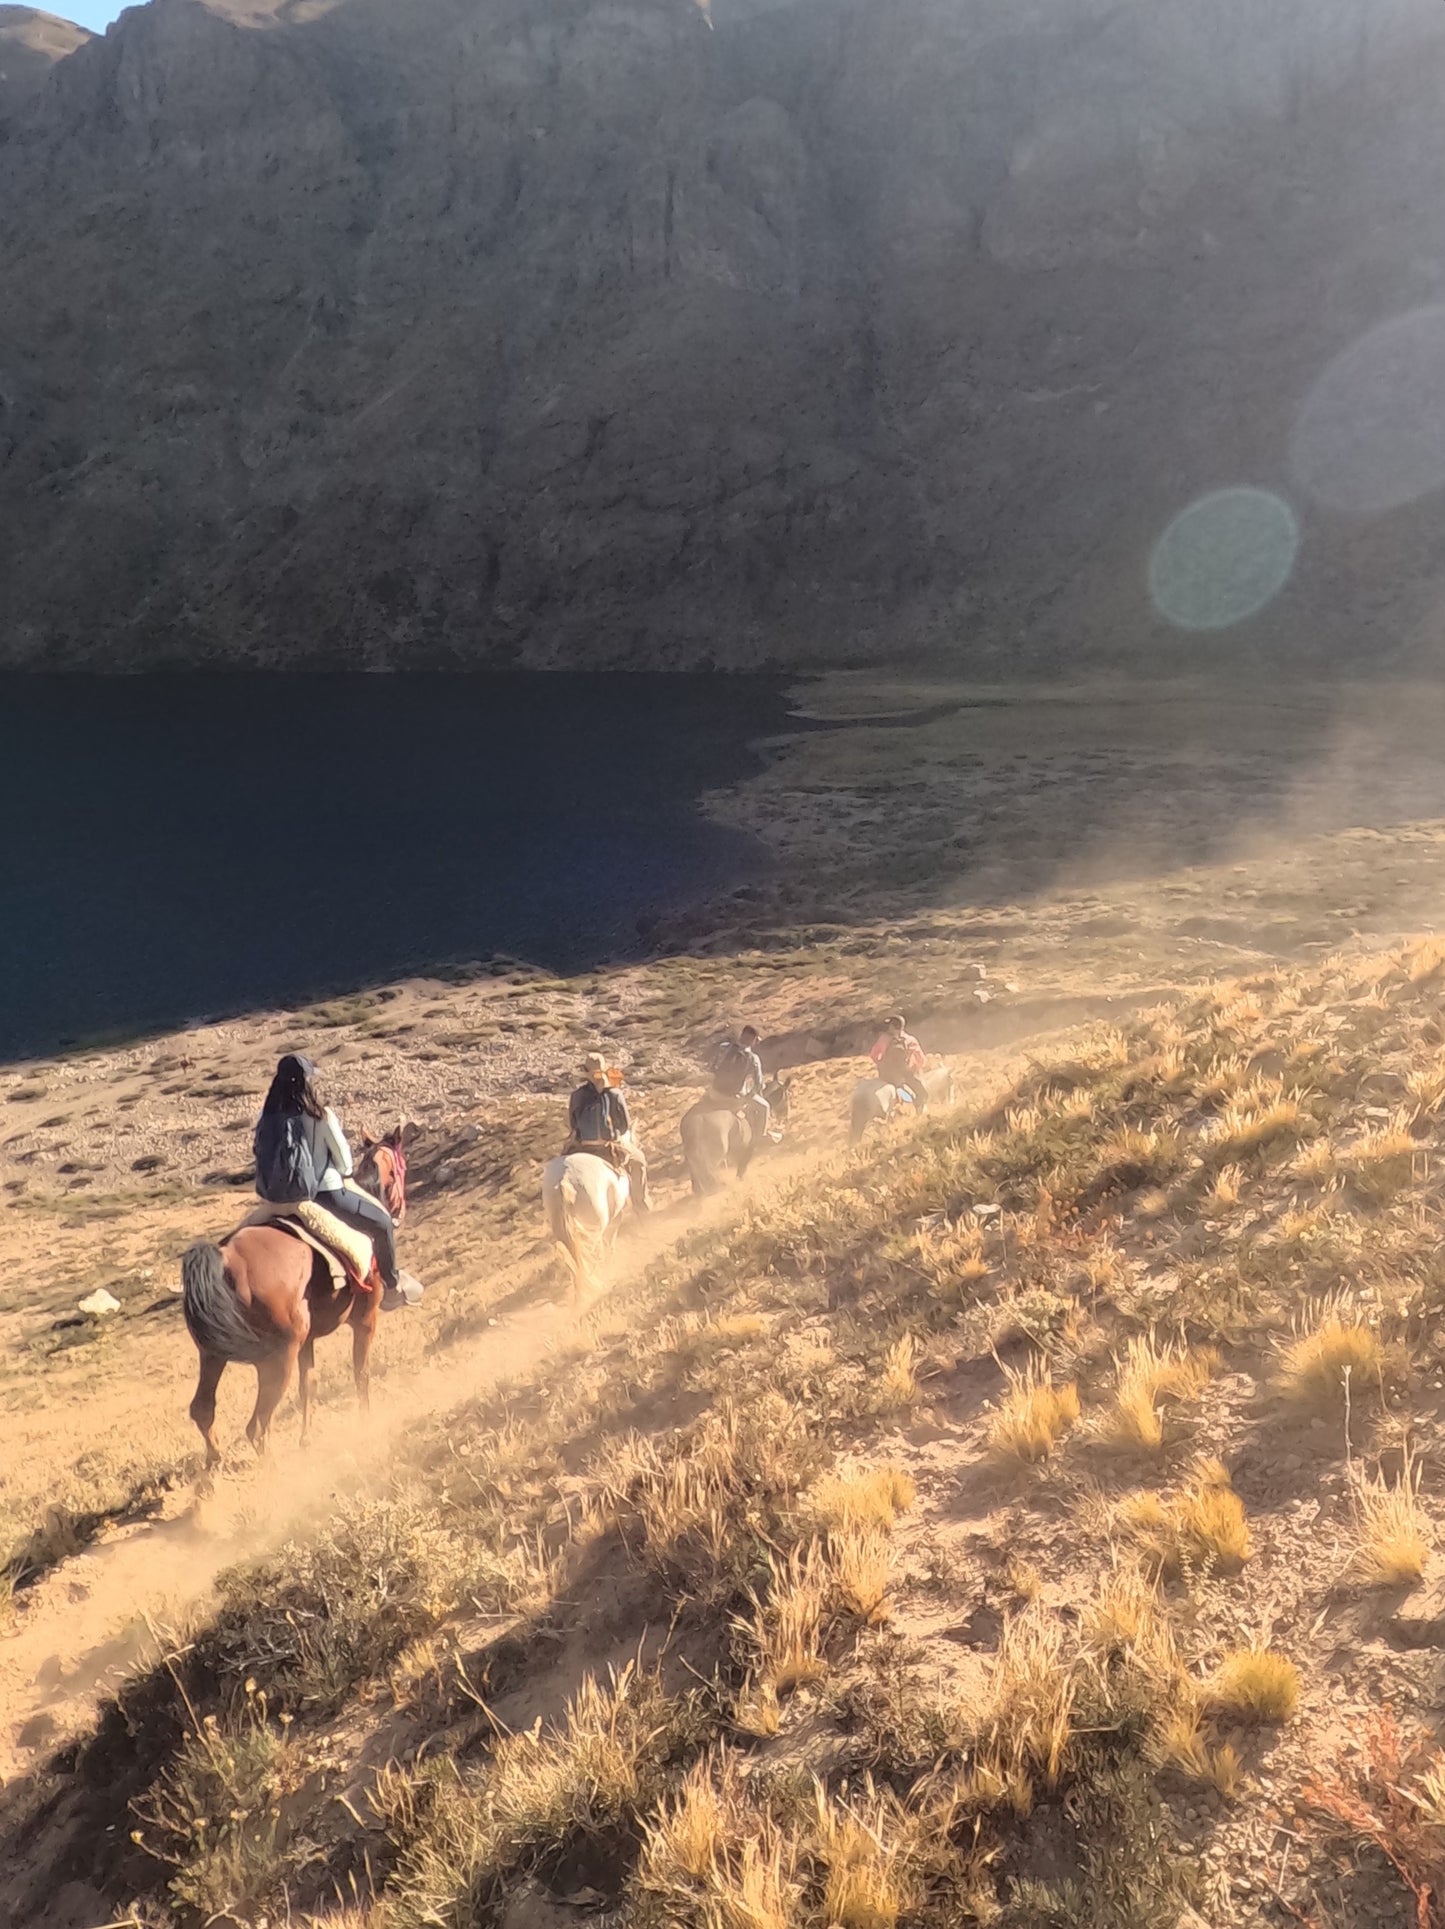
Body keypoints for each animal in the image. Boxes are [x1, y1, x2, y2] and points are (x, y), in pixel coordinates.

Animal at [181, 1126, 405, 1458]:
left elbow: (307, 1385)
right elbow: (360, 1371)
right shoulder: (365, 1320)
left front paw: (306, 1438)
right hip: (275, 1360)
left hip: (213, 1356)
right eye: (402, 1165)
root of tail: (226, 1258)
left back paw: (213, 1468)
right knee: (257, 1426)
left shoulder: (307, 1342)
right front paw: (366, 1421)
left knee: (203, 1411)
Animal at [540, 1157, 625, 1296]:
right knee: (591, 1254)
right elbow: (609, 1244)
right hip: (593, 1229)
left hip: (565, 1231)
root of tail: (565, 1182)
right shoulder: (615, 1219)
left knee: (571, 1255)